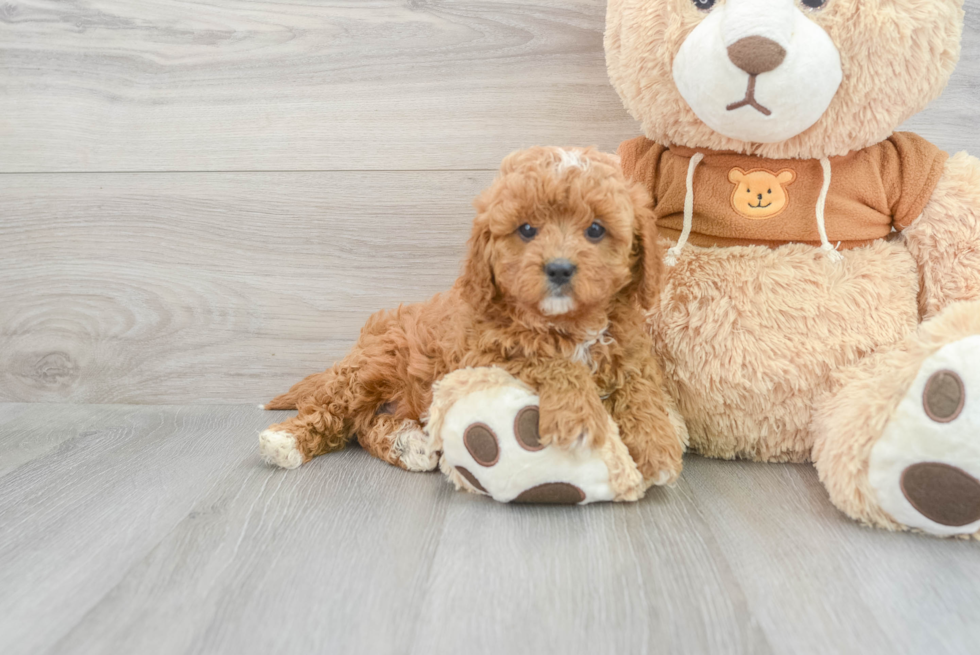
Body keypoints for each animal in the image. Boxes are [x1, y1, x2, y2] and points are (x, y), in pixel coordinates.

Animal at [264, 149, 684, 486]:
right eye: (527, 230)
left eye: (596, 229)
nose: (560, 269)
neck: (567, 323)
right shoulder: (486, 356)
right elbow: (551, 362)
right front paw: (580, 417)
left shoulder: (629, 348)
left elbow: (641, 387)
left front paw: (657, 443)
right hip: (373, 366)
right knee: (333, 409)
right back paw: (285, 441)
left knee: (365, 426)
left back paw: (410, 444)